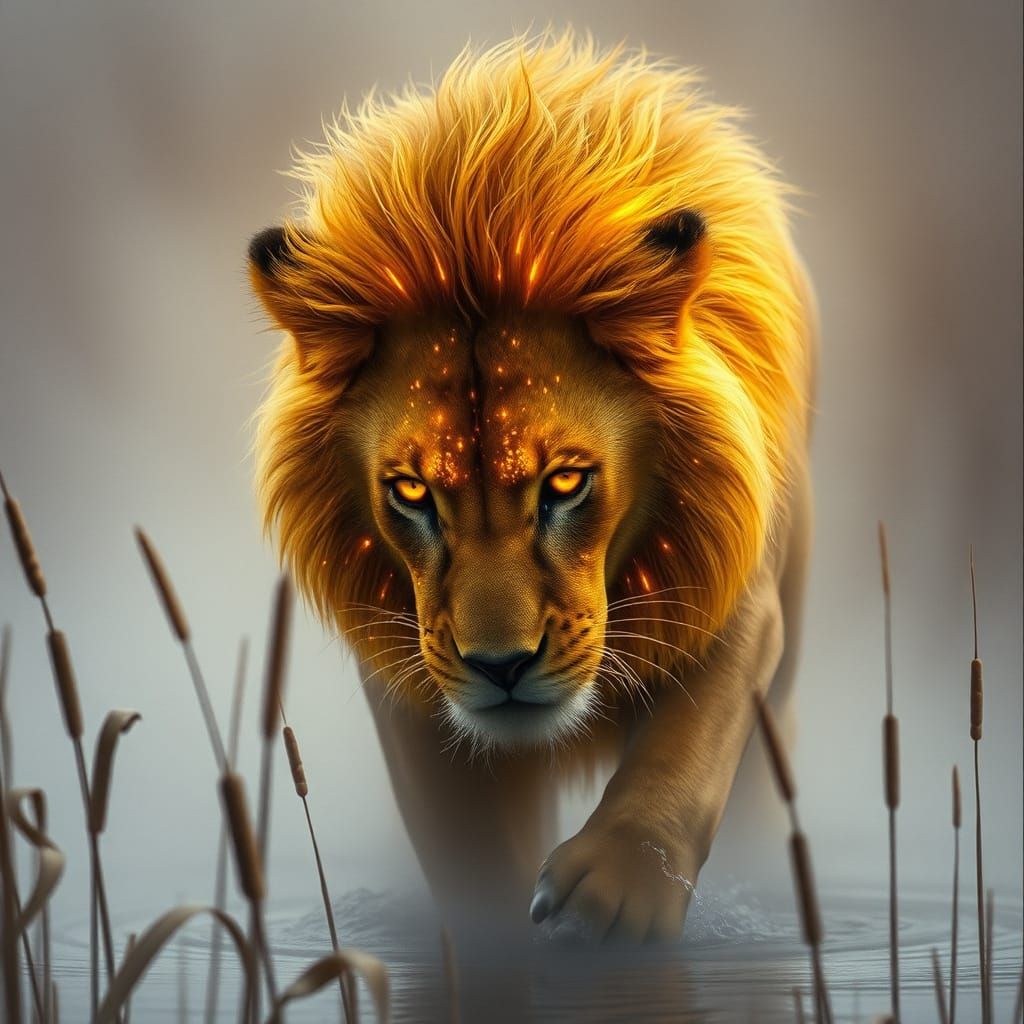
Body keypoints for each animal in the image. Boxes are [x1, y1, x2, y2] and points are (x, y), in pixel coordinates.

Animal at [247, 30, 817, 945]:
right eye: (412, 492)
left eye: (566, 482)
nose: (501, 666)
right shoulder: (414, 673)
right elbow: (470, 849)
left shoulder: (736, 600)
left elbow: (685, 748)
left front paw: (614, 895)